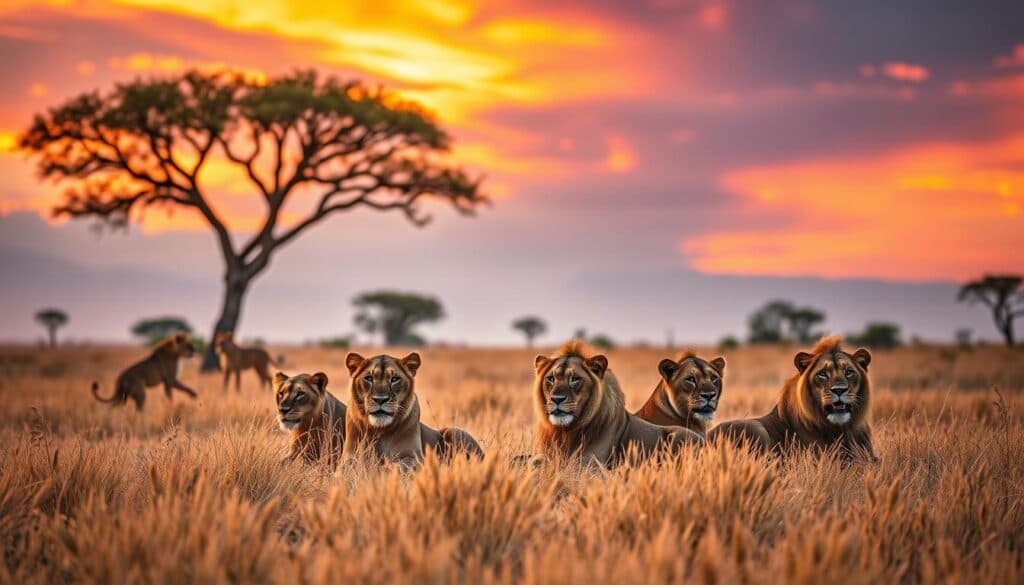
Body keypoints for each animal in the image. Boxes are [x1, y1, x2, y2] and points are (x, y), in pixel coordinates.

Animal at [342, 352, 484, 466]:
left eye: (394, 379)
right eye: (369, 378)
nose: (380, 399)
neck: (379, 430)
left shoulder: (414, 457)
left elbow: (396, 467)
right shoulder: (348, 457)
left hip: (454, 432)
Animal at [533, 341, 704, 467]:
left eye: (575, 378)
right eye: (551, 378)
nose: (557, 399)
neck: (566, 431)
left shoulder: (590, 463)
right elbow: (532, 460)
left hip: (680, 437)